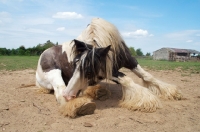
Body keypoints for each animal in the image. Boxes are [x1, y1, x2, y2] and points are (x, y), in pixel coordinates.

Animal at [35, 17, 181, 117]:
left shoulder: (130, 61)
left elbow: (147, 76)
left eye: (89, 70)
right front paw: (147, 101)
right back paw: (80, 105)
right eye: (74, 64)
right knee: (59, 90)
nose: (69, 94)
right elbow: (127, 80)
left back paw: (97, 92)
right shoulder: (108, 72)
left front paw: (172, 92)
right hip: (53, 73)